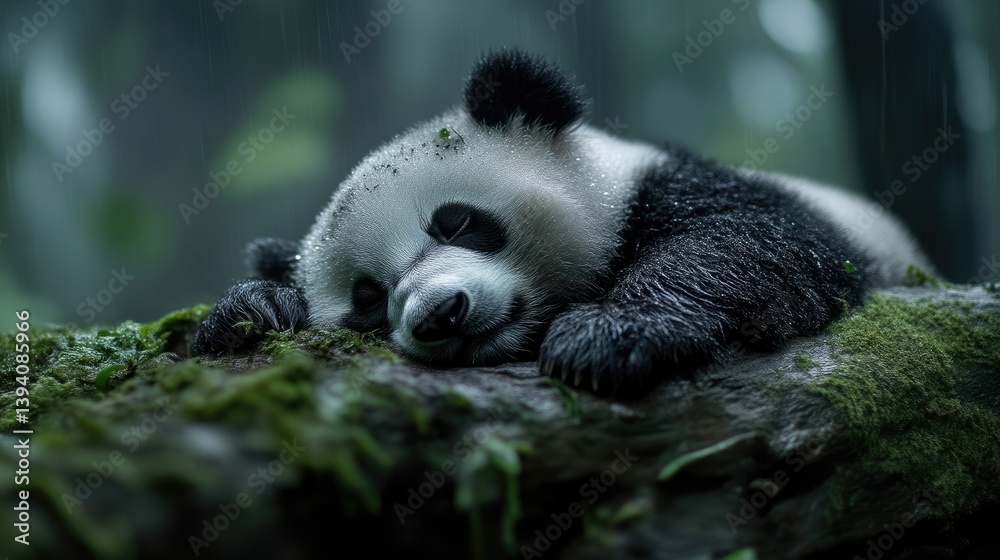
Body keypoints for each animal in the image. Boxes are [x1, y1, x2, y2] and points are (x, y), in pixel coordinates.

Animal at [192, 48, 931, 397]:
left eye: (455, 222)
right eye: (368, 299)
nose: (440, 314)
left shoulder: (674, 184)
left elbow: (750, 243)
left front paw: (608, 336)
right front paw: (253, 309)